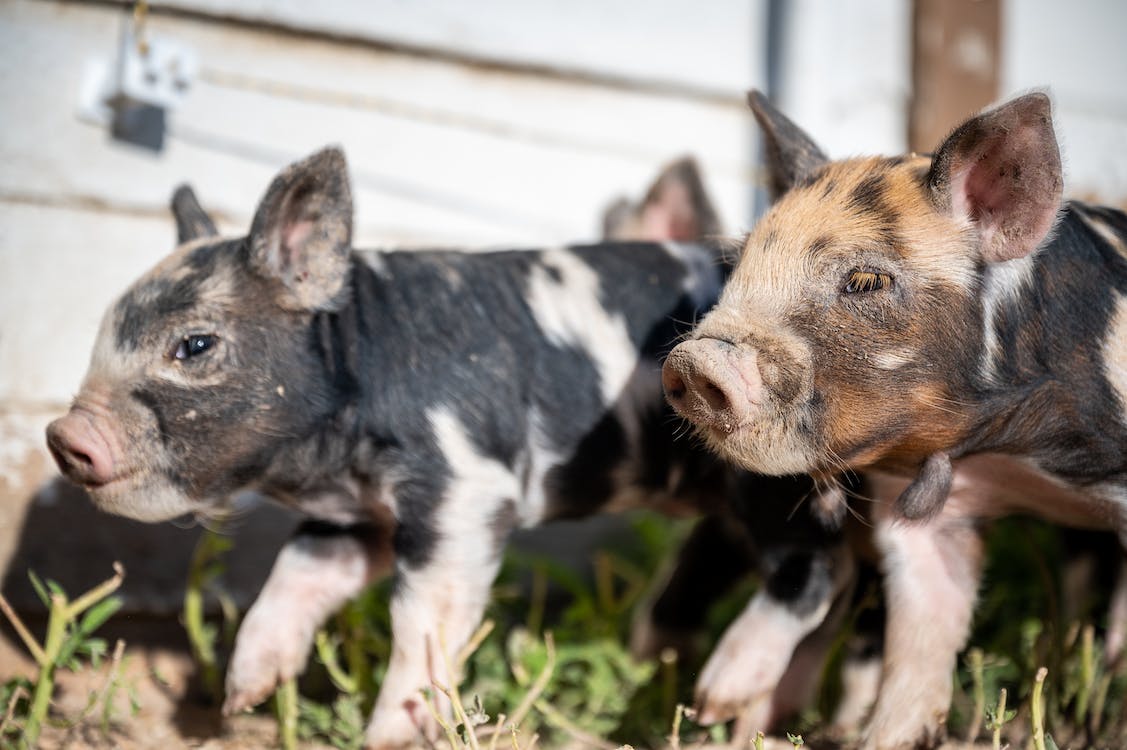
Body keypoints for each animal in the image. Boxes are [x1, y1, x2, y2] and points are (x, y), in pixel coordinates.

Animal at [46, 149, 855, 747]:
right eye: (102, 338)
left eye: (194, 345)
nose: (61, 435)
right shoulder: (353, 518)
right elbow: (292, 579)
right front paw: (242, 697)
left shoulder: (465, 489)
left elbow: (422, 621)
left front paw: (383, 738)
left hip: (773, 480)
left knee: (814, 571)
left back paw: (720, 697)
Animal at [663, 90, 1127, 748]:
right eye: (739, 266)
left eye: (865, 280)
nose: (693, 359)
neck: (1008, 453)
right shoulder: (930, 522)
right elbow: (919, 646)